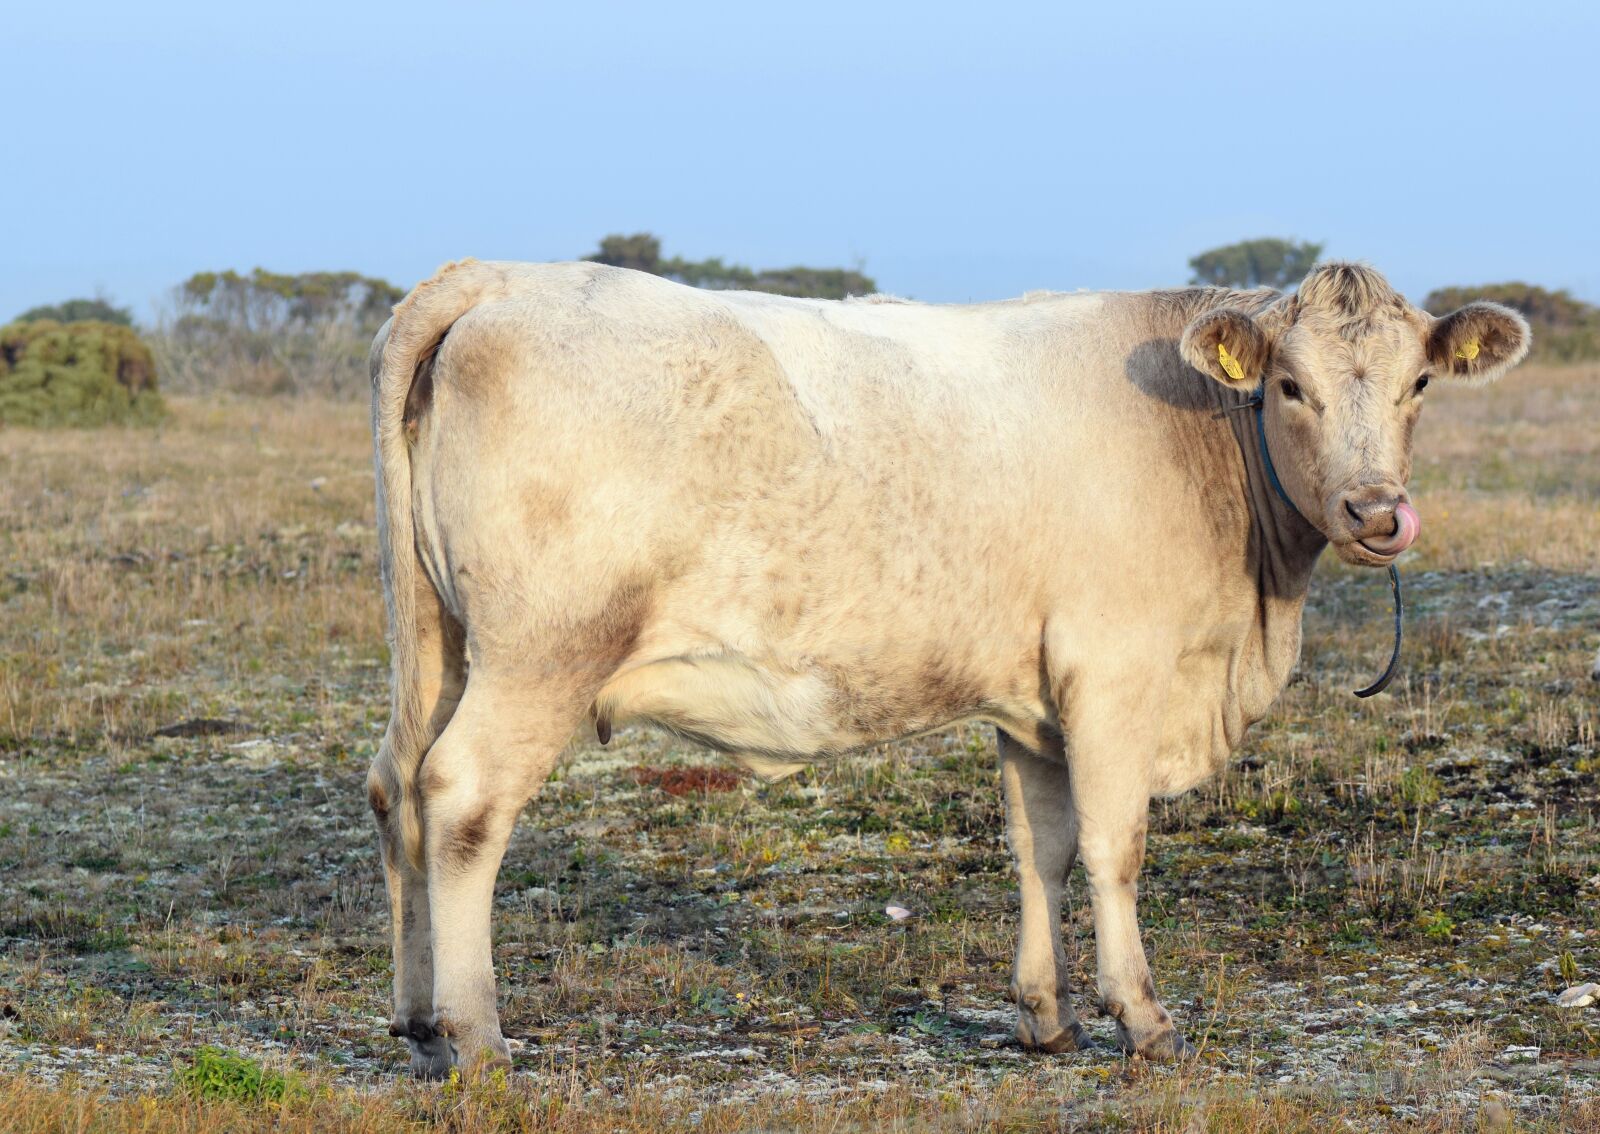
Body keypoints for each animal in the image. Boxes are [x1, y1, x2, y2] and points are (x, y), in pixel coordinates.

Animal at [364, 258, 1528, 1077]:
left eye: (1420, 382)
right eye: (1290, 385)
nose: (1377, 511)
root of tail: (505, 276)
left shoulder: (1032, 698)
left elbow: (1038, 848)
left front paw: (1045, 1019)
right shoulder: (1114, 668)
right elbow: (1113, 845)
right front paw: (1142, 1019)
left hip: (439, 644)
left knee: (396, 788)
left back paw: (418, 1023)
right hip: (542, 651)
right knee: (462, 796)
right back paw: (477, 1036)